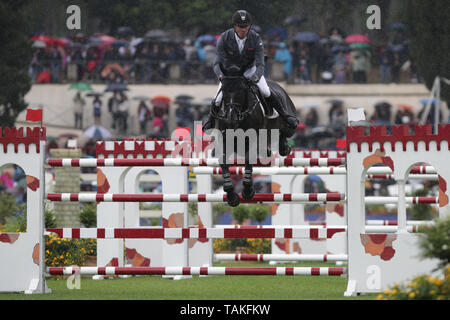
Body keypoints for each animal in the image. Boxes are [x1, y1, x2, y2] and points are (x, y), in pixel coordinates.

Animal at [212, 65, 298, 208]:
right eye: (223, 89)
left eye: (241, 89)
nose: (231, 118)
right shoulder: (225, 141)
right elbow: (223, 162)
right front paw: (232, 196)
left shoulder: (252, 140)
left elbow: (248, 159)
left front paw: (247, 191)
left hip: (289, 123)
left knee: (285, 133)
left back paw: (284, 147)